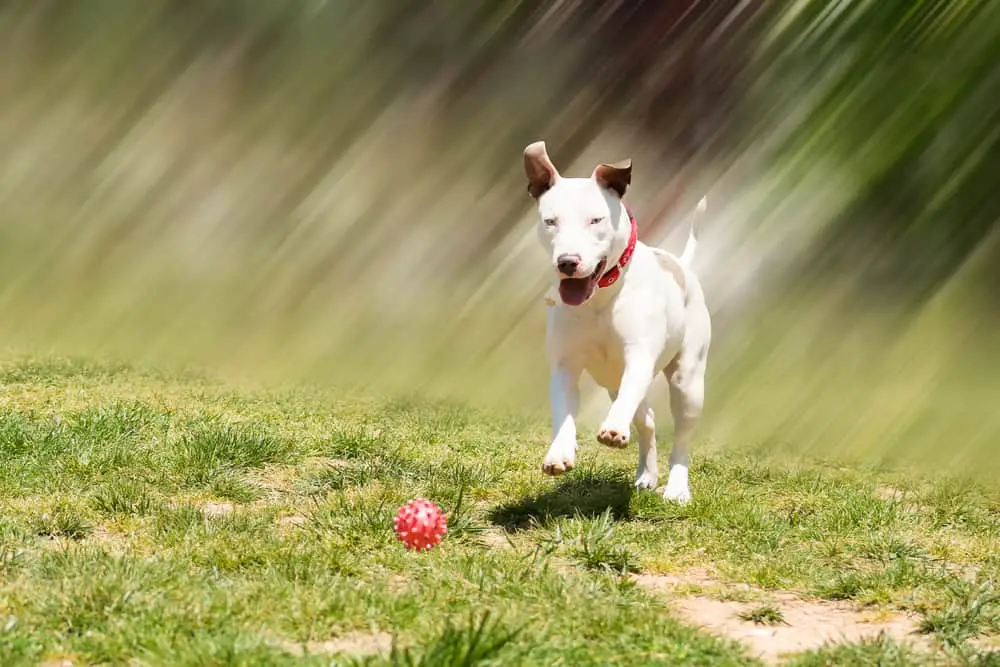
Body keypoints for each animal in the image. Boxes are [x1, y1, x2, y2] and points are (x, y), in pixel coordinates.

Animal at [524, 142, 712, 506]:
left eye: (596, 219)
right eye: (550, 221)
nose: (567, 262)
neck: (600, 297)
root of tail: (681, 265)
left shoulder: (639, 357)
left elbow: (632, 388)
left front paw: (612, 430)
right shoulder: (565, 366)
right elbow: (563, 411)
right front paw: (559, 453)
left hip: (688, 382)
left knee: (681, 437)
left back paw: (676, 486)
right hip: (613, 381)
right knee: (647, 422)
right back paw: (646, 475)